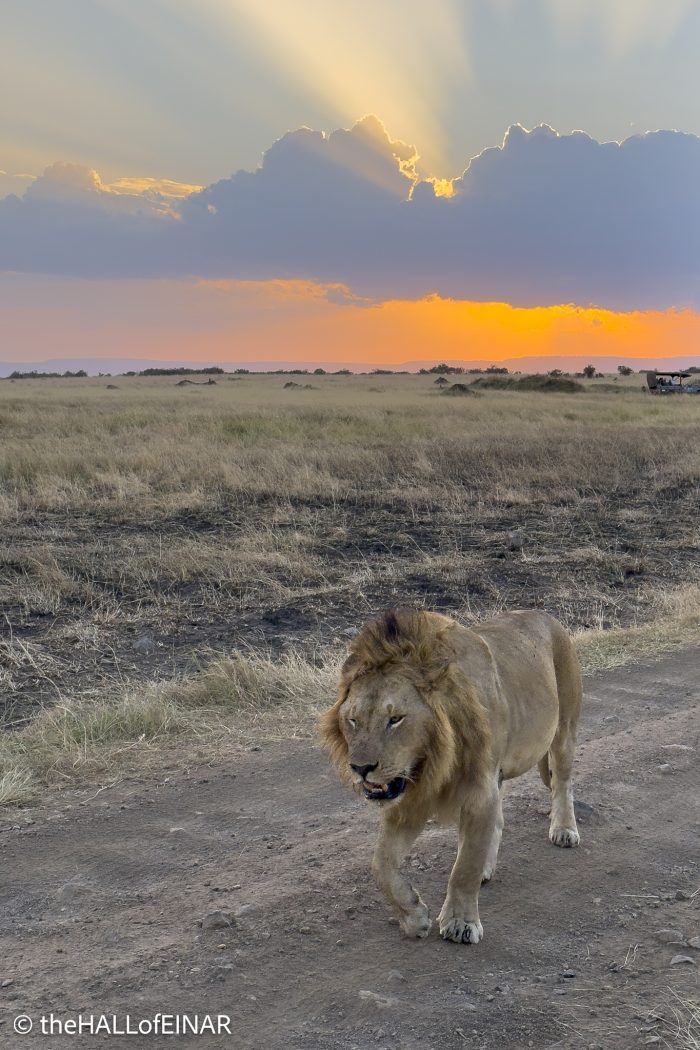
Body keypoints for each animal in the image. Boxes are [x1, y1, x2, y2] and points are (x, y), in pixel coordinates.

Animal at [319, 608, 582, 944]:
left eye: (395, 719)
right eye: (353, 720)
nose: (361, 768)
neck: (432, 761)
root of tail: (546, 615)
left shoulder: (479, 789)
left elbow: (464, 867)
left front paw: (461, 923)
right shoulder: (409, 800)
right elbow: (380, 864)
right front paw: (414, 916)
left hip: (563, 730)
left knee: (562, 782)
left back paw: (564, 830)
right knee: (498, 820)